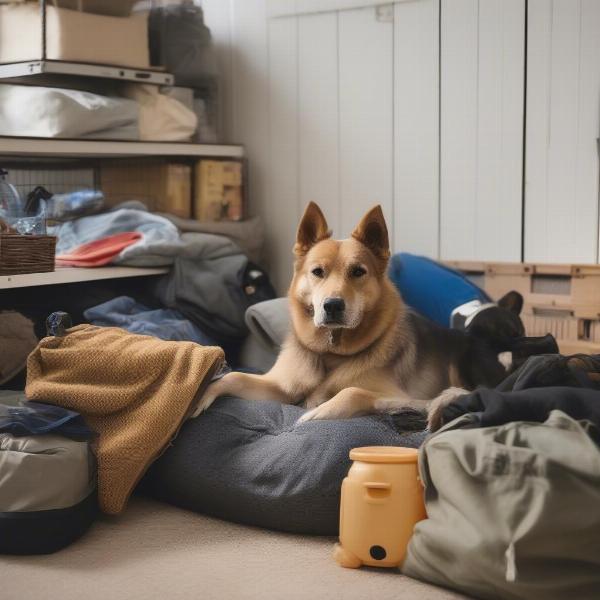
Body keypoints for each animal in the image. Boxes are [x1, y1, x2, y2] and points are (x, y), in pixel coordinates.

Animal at [195, 204, 512, 424]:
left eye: (358, 272)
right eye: (317, 272)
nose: (333, 305)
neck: (330, 356)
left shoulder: (405, 397)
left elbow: (351, 391)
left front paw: (316, 413)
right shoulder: (280, 388)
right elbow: (235, 377)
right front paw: (203, 395)